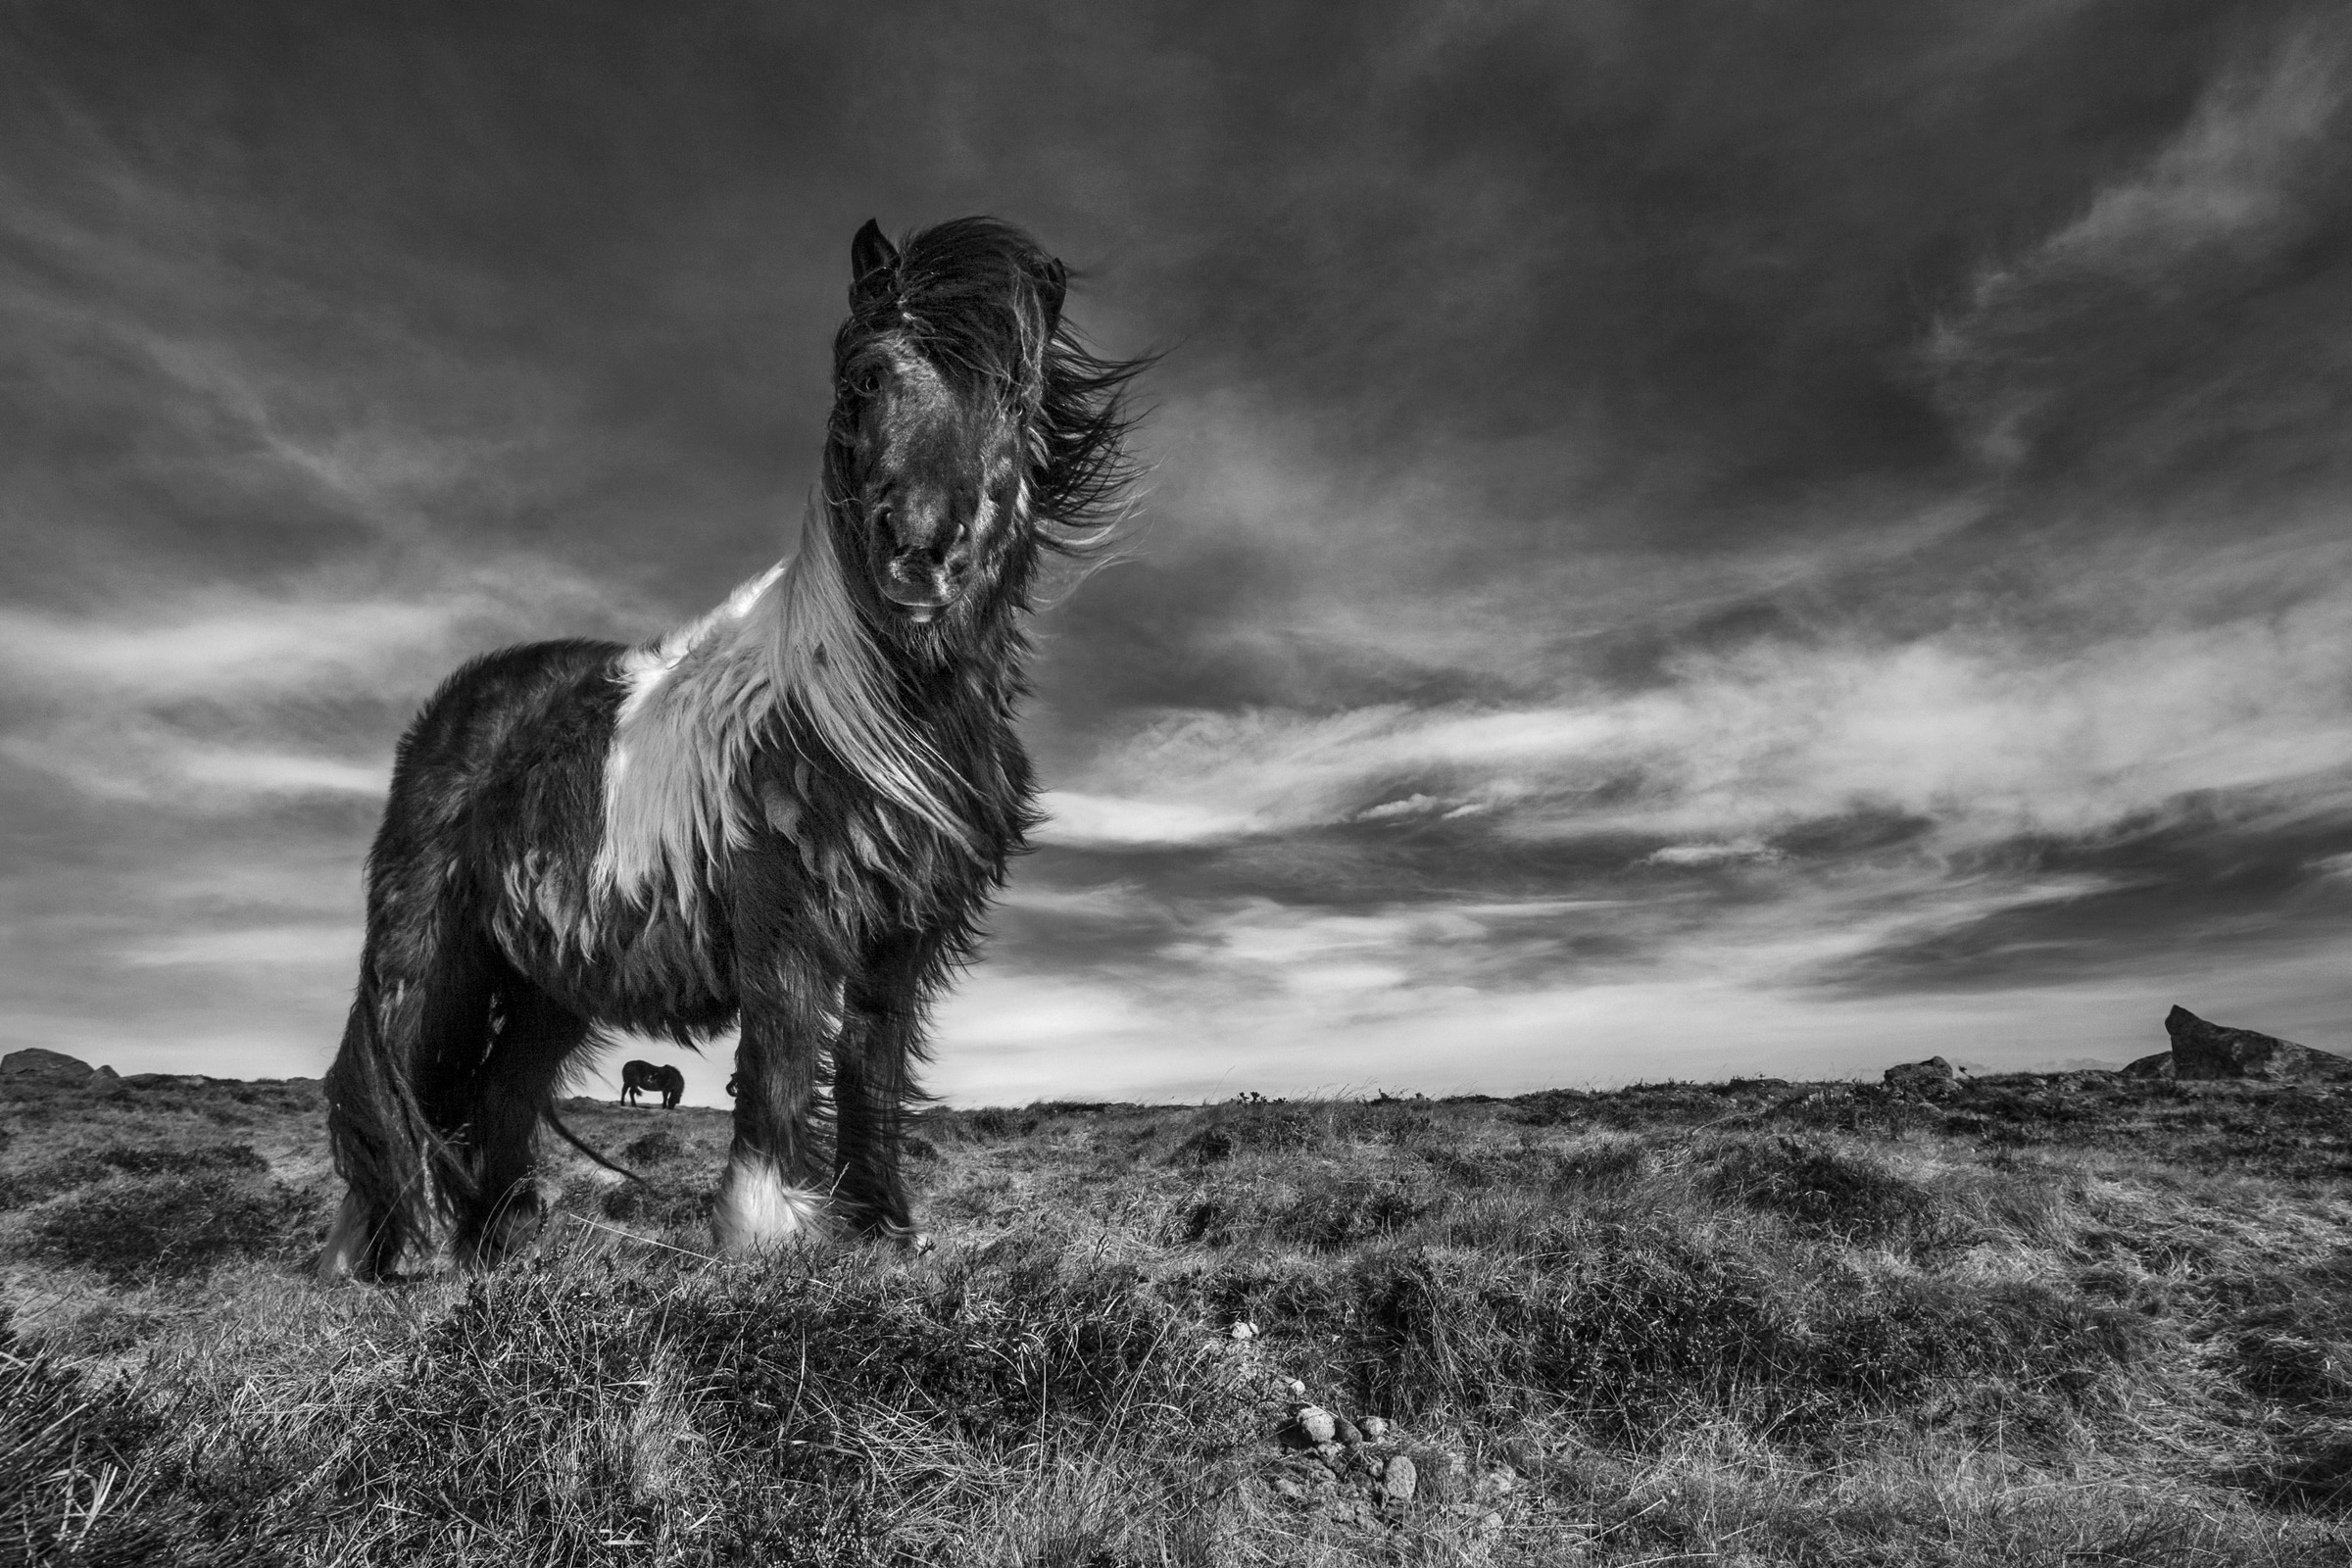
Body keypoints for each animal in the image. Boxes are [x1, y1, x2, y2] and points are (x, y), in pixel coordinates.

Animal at [319, 217, 1148, 1278]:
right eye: (866, 378)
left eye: (1014, 390)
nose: (920, 551)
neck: (876, 711)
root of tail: (458, 708)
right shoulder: (786, 913)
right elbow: (783, 1056)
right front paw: (766, 1234)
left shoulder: (901, 935)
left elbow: (870, 1069)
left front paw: (880, 1230)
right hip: (431, 944)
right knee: (393, 1075)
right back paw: (397, 1255)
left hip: (551, 978)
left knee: (504, 1091)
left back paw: (497, 1250)